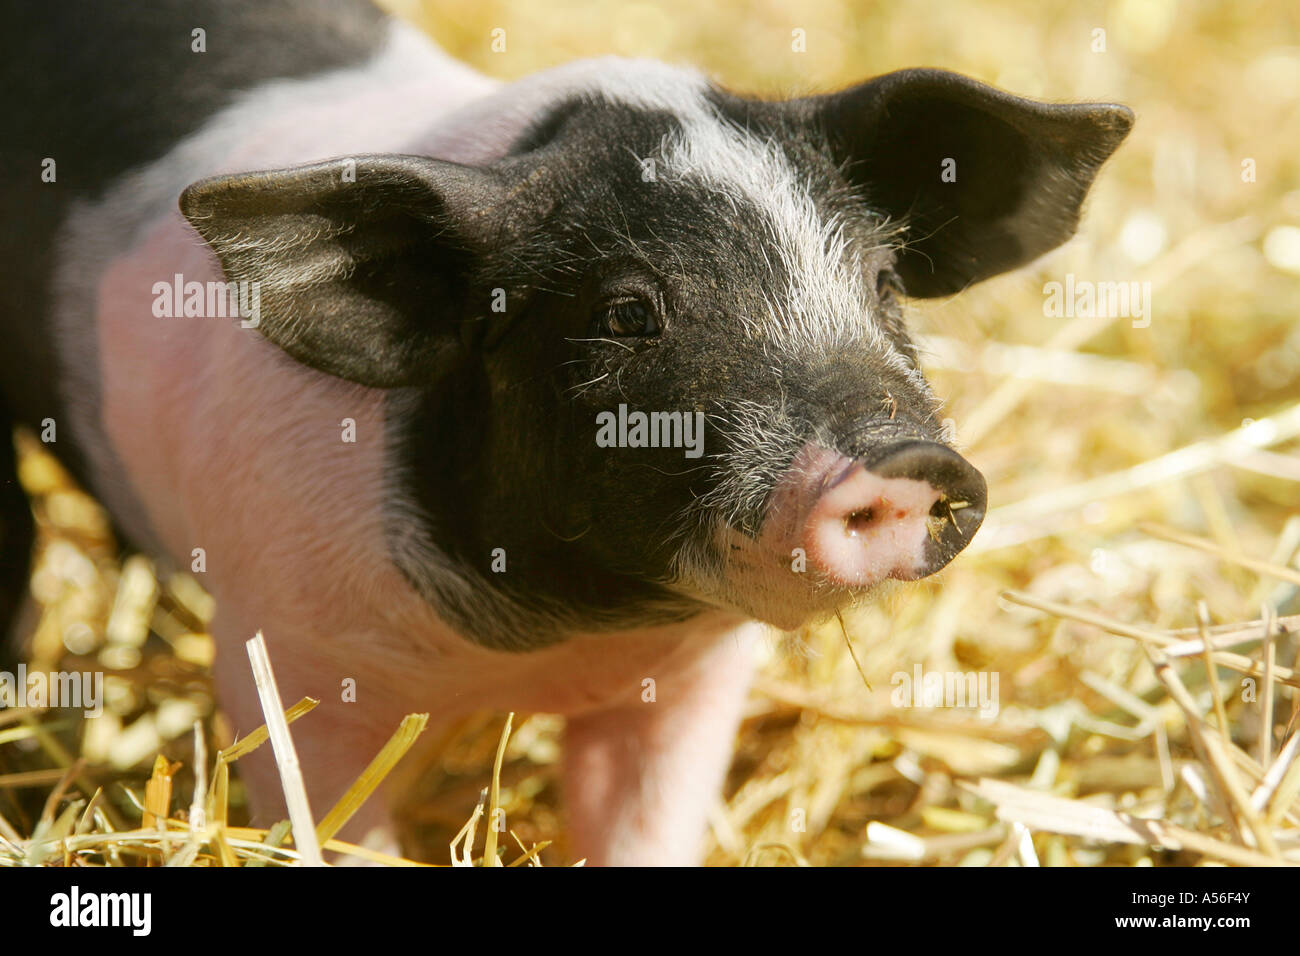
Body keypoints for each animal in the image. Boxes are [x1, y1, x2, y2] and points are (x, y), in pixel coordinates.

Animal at [0, 1, 1128, 868]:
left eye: (884, 282)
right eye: (627, 312)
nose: (904, 459)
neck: (560, 640)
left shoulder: (689, 687)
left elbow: (643, 824)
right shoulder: (289, 657)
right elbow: (334, 818)